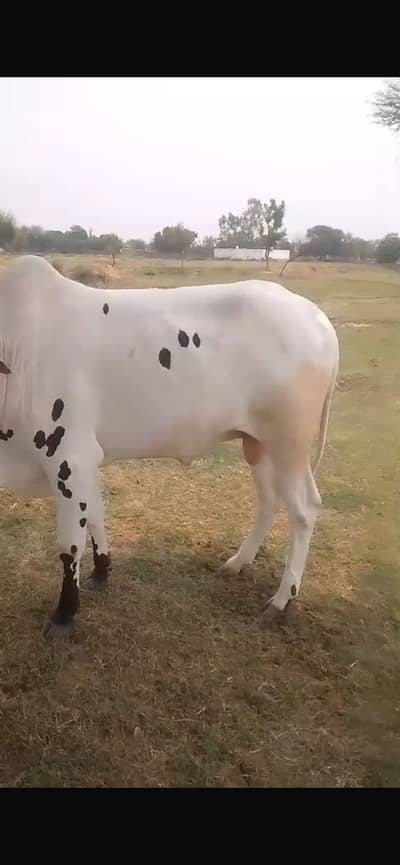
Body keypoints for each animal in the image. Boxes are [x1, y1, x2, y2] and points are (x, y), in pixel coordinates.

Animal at [0, 255, 339, 639]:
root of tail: (316, 316)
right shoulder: (86, 463)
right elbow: (98, 518)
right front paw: (101, 573)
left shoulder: (68, 459)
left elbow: (69, 546)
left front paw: (64, 613)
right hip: (258, 444)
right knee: (268, 501)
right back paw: (238, 562)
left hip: (288, 444)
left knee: (304, 509)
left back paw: (282, 599)